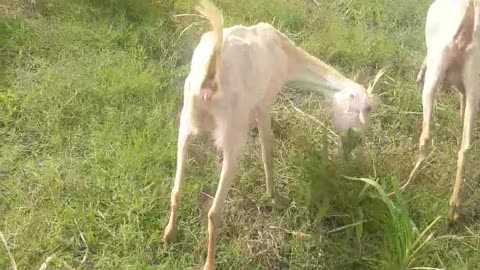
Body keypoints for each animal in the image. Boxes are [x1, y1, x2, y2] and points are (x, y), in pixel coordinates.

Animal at [165, 1, 382, 268]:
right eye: (366, 110)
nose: (353, 145)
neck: (286, 54)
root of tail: (209, 79)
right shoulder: (263, 103)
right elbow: (267, 149)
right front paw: (273, 195)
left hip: (185, 124)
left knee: (176, 189)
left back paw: (169, 235)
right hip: (233, 136)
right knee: (214, 211)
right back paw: (209, 263)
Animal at [408, 0, 480, 221]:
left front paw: (418, 76)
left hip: (436, 67)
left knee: (425, 136)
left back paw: (407, 183)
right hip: (474, 79)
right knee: (465, 148)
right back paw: (453, 210)